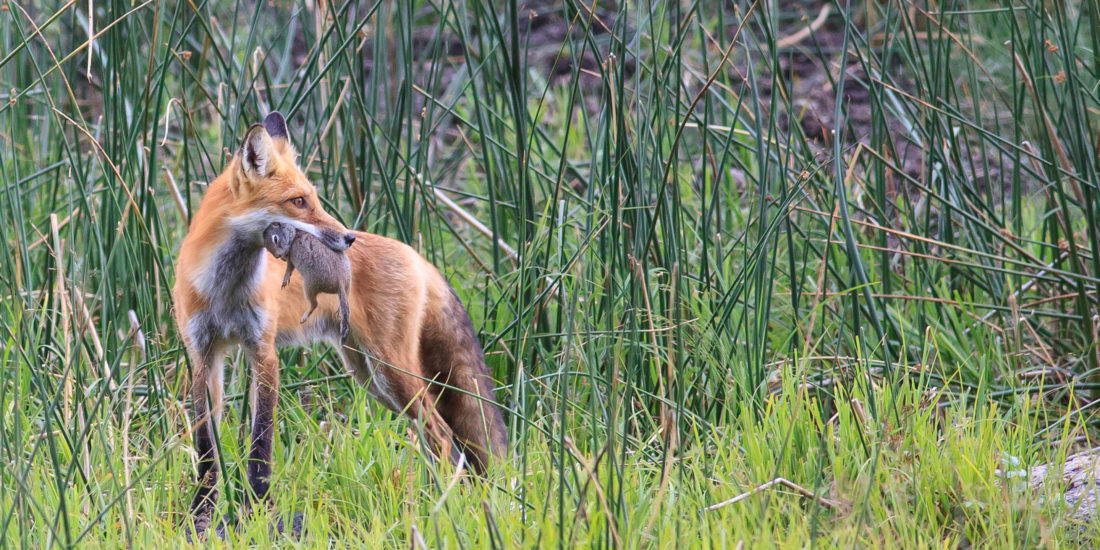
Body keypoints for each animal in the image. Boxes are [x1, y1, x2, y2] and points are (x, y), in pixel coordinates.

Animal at [171, 112, 506, 536]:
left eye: (313, 198)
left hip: (392, 372)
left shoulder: (263, 351)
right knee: (436, 438)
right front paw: (201, 513)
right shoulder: (203, 354)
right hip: (371, 377)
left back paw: (442, 507)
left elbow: (261, 444)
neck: (224, 292)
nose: (347, 237)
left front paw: (258, 510)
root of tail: (415, 253)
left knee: (444, 438)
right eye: (298, 201)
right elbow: (206, 450)